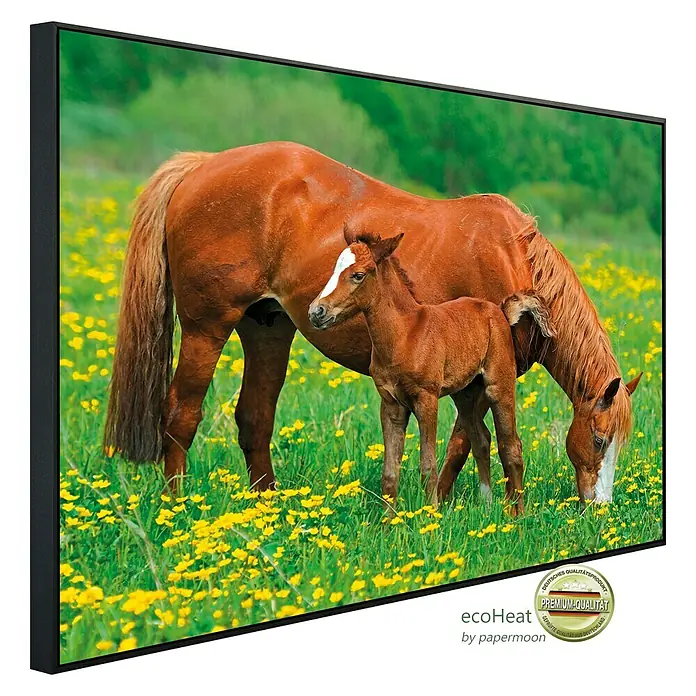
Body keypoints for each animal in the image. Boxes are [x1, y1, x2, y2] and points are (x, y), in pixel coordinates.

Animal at [308, 227, 555, 514]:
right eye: (334, 269)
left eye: (358, 274)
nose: (316, 311)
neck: (404, 335)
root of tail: (501, 312)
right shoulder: (390, 404)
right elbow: (389, 471)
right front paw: (388, 519)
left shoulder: (426, 398)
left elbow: (428, 465)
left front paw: (430, 515)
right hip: (465, 394)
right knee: (481, 439)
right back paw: (486, 502)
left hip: (498, 385)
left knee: (511, 444)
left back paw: (517, 513)